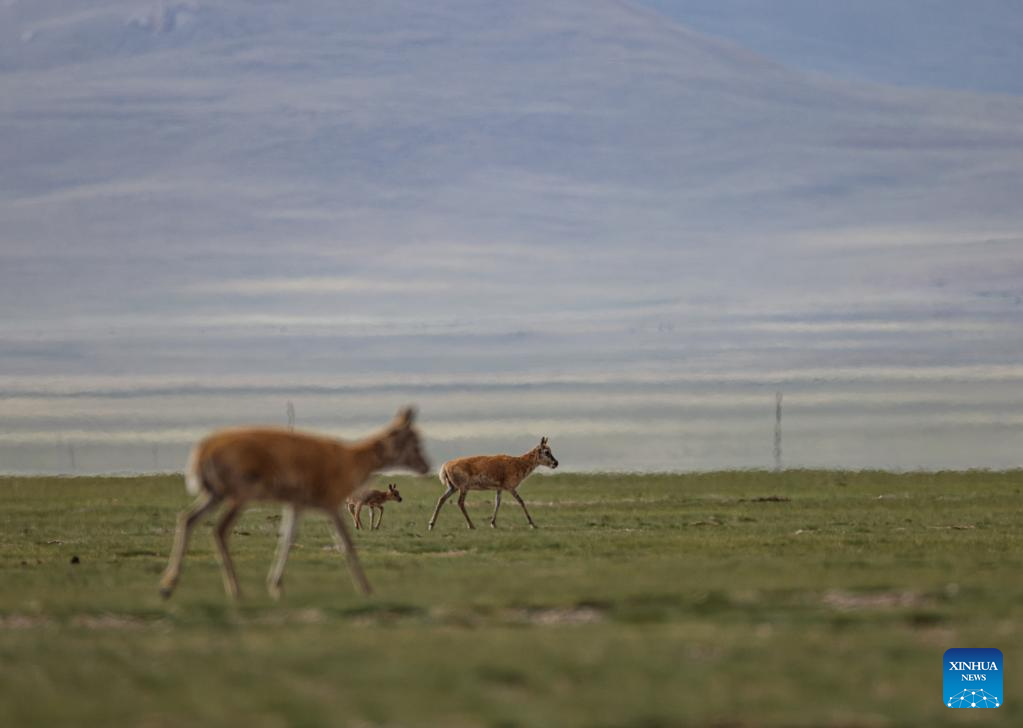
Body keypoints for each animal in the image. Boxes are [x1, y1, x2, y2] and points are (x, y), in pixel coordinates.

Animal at [158, 406, 427, 601]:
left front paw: (276, 585)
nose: (426, 465)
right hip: (238, 497)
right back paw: (235, 590)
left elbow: (287, 538)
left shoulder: (296, 506)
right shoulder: (330, 506)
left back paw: (168, 586)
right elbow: (346, 543)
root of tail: (204, 450)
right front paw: (367, 588)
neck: (349, 459)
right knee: (220, 529)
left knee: (187, 519)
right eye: (414, 439)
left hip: (215, 496)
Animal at [429, 435, 564, 531]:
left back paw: (431, 524)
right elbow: (521, 501)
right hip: (463, 488)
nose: (556, 463)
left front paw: (493, 523)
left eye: (550, 450)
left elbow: (497, 502)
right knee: (460, 502)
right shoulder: (510, 488)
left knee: (441, 499)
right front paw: (533, 524)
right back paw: (471, 525)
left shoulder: (499, 489)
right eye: (546, 451)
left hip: (453, 488)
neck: (518, 463)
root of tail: (446, 465)